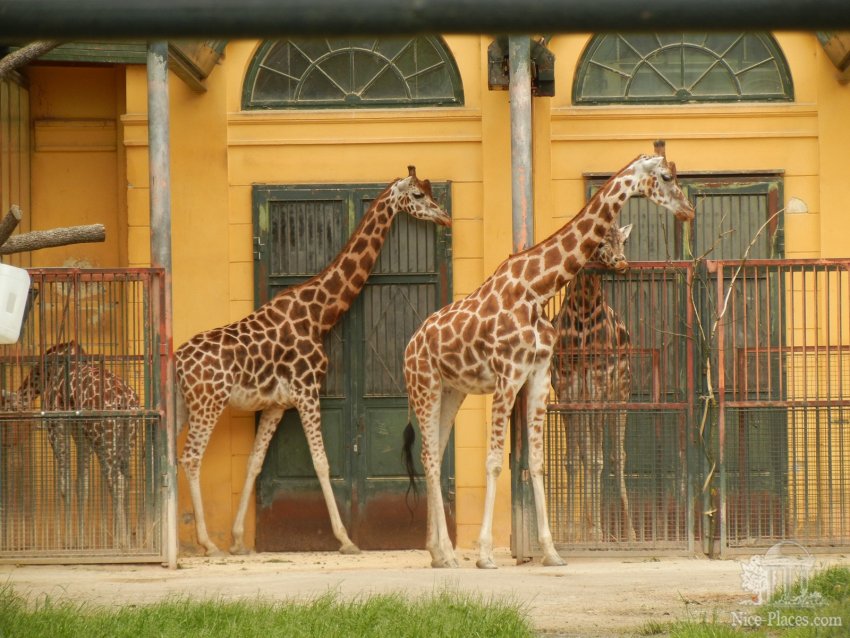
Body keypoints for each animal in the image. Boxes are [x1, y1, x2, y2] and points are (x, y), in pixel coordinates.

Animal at [6, 342, 140, 548]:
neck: (44, 374)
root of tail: (126, 402)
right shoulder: (80, 433)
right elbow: (82, 485)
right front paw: (81, 540)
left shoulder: (56, 424)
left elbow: (65, 484)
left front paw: (68, 540)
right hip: (125, 439)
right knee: (124, 481)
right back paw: (121, 539)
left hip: (104, 438)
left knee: (117, 481)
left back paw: (122, 542)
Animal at [176, 168, 454, 556]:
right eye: (417, 195)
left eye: (431, 192)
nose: (445, 217)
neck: (318, 314)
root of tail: (177, 363)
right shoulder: (307, 391)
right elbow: (322, 463)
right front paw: (347, 540)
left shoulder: (277, 404)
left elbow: (254, 462)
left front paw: (238, 540)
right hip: (208, 404)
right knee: (190, 457)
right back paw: (206, 544)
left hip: (185, 407)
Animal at [548, 222, 636, 544]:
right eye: (599, 242)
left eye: (623, 241)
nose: (621, 262)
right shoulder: (566, 391)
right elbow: (574, 460)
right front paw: (571, 532)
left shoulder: (598, 387)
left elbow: (598, 459)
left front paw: (597, 530)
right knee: (587, 454)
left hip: (620, 394)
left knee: (617, 456)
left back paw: (629, 531)